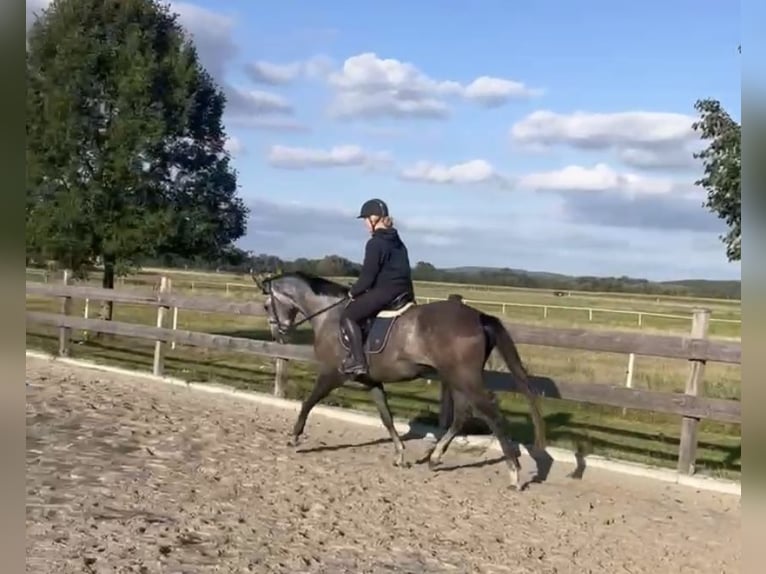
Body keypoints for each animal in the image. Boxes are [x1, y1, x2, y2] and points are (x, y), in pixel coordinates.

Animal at [255, 270, 548, 490]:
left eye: (267, 305)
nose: (278, 332)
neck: (329, 316)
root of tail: (477, 317)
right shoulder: (372, 382)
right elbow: (386, 417)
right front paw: (399, 455)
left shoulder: (331, 373)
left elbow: (308, 403)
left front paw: (294, 437)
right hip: (455, 378)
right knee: (462, 415)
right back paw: (435, 458)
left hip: (464, 378)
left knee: (492, 415)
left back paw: (514, 474)